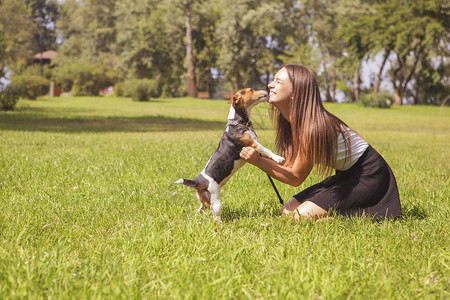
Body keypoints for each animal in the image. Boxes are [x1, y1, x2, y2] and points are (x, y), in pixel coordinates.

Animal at [176, 88, 284, 221]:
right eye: (251, 90)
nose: (267, 89)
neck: (237, 122)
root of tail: (196, 182)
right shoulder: (252, 144)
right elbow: (266, 150)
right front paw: (278, 158)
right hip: (216, 203)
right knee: (216, 219)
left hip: (205, 201)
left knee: (200, 210)